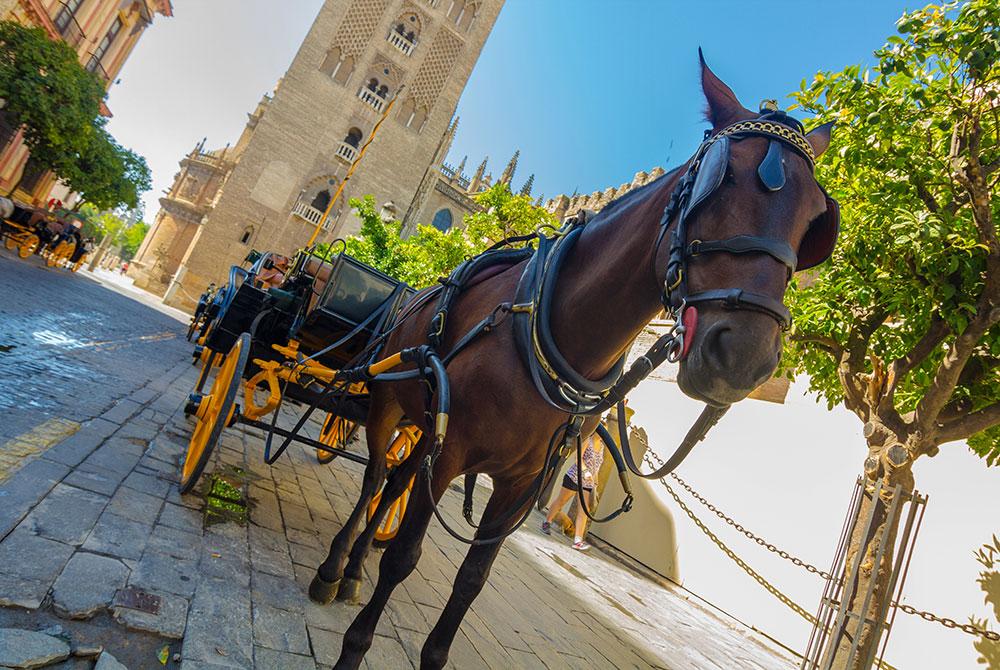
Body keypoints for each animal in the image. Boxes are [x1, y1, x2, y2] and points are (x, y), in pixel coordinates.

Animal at [312, 59, 836, 670]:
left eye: (815, 221)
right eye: (717, 180)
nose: (745, 356)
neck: (550, 328)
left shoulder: (519, 483)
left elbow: (471, 581)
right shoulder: (453, 452)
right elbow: (403, 557)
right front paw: (354, 647)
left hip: (426, 426)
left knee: (395, 481)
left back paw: (352, 569)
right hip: (389, 402)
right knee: (375, 478)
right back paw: (334, 567)